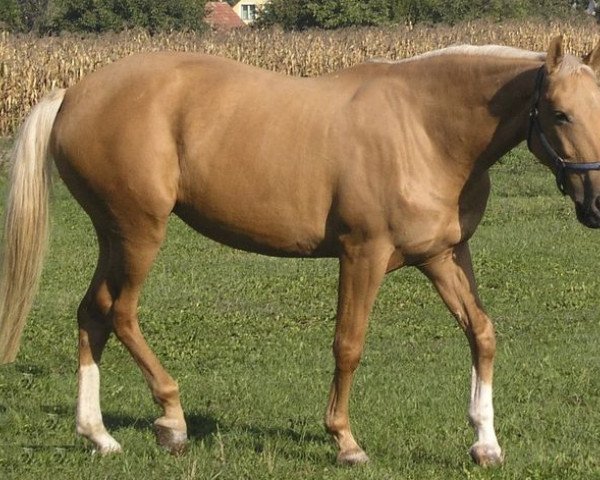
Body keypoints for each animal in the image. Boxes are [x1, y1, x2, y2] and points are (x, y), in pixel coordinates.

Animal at [1, 34, 600, 468]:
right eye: (560, 114)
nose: (596, 206)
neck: (425, 128)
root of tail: (72, 94)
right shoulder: (363, 254)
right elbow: (348, 345)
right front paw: (345, 441)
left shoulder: (444, 256)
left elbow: (482, 333)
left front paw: (485, 443)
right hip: (139, 232)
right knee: (121, 312)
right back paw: (171, 420)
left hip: (112, 236)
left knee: (92, 315)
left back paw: (97, 434)